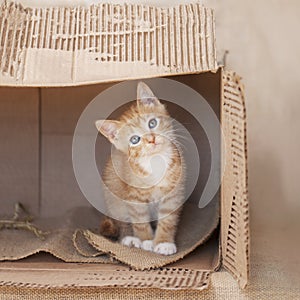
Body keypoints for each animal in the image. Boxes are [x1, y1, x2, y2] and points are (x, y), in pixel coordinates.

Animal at [96, 82, 185, 255]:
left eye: (152, 123)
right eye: (135, 139)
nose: (151, 140)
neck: (155, 161)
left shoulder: (173, 193)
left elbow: (168, 219)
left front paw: (163, 243)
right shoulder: (133, 197)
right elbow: (140, 220)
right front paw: (146, 241)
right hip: (113, 198)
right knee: (122, 221)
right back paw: (129, 239)